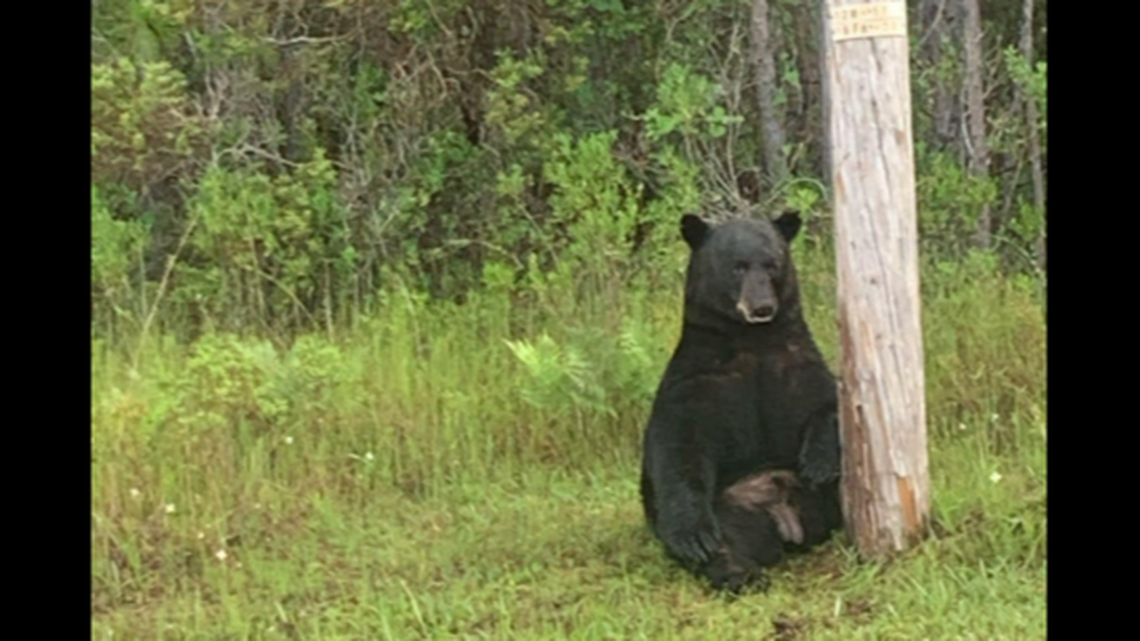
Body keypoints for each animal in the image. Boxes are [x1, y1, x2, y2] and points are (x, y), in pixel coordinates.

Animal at [639, 210, 843, 592]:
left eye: (773, 264)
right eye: (737, 267)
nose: (762, 307)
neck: (753, 340)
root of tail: (784, 519)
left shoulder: (797, 363)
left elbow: (830, 401)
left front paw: (819, 461)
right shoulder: (698, 381)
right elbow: (679, 445)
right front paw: (691, 537)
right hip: (729, 508)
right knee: (725, 541)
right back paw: (738, 572)